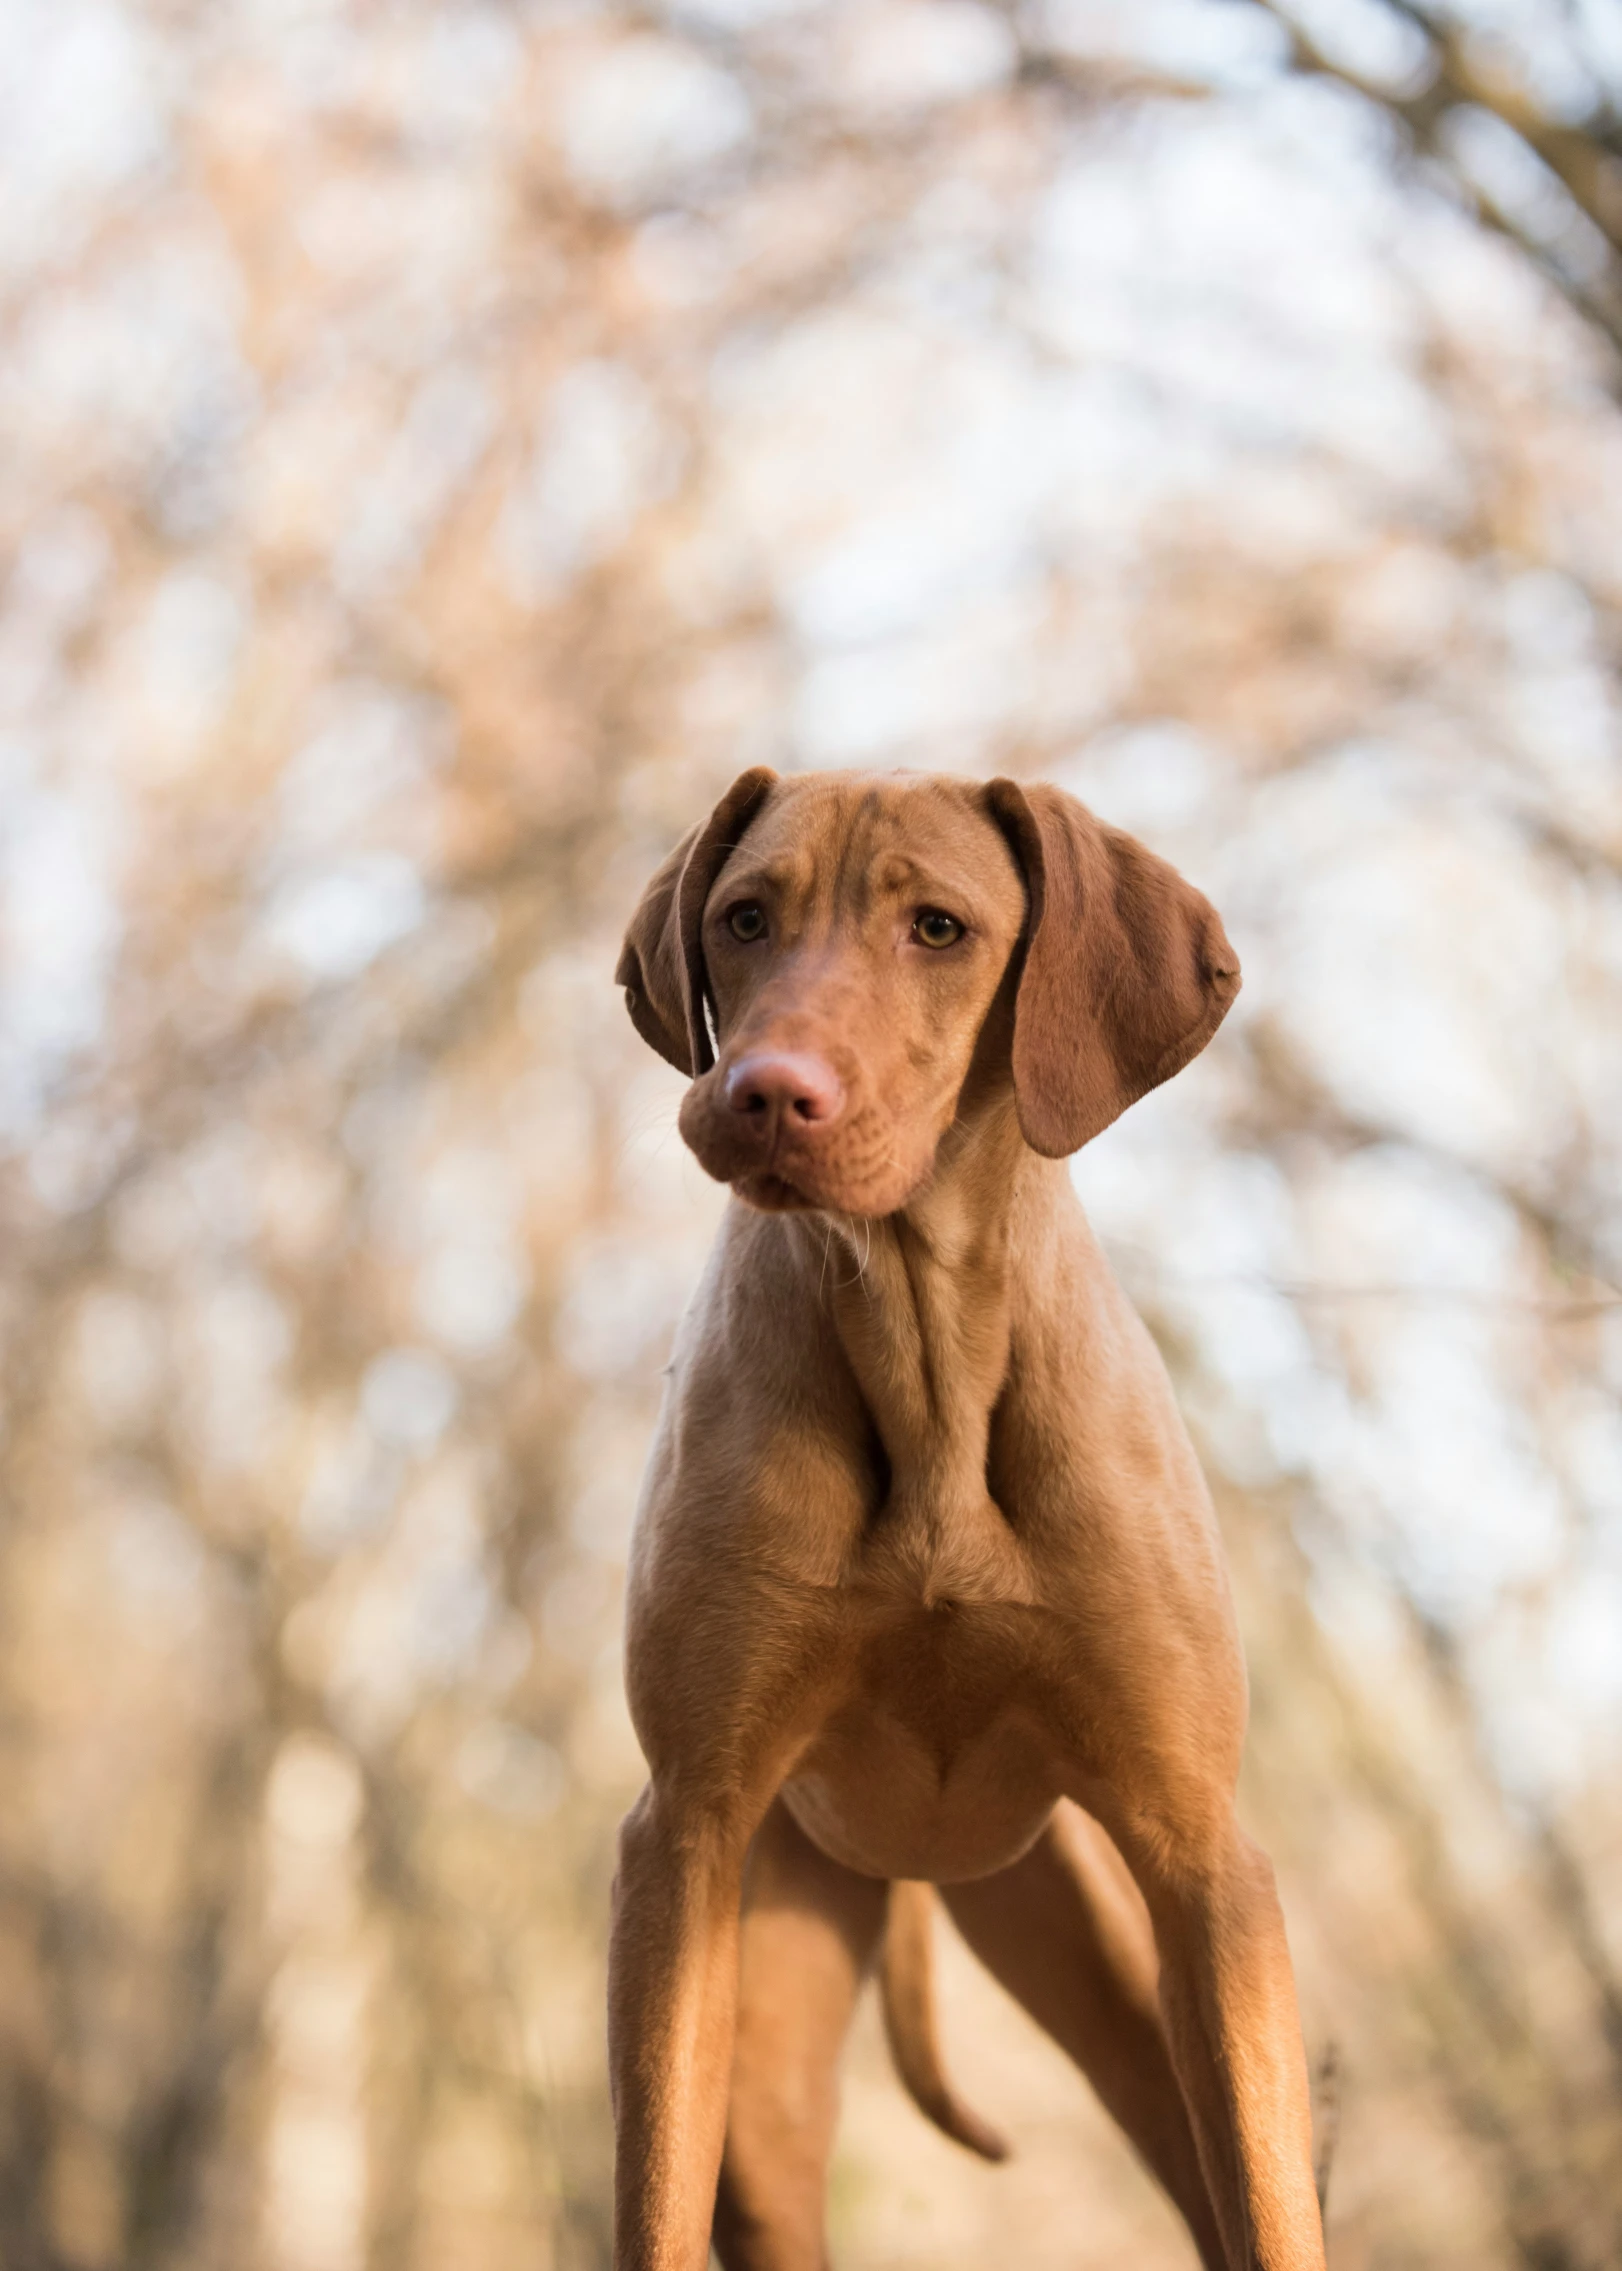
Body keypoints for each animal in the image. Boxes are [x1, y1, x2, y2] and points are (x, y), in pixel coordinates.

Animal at [608, 767, 1326, 2271]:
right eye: (742, 918)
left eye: (936, 927)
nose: (763, 1094)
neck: (924, 1351)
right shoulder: (684, 1838)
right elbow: (650, 2201)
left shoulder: (1201, 1857)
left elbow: (1269, 2210)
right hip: (773, 2004)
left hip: (1122, 1947)